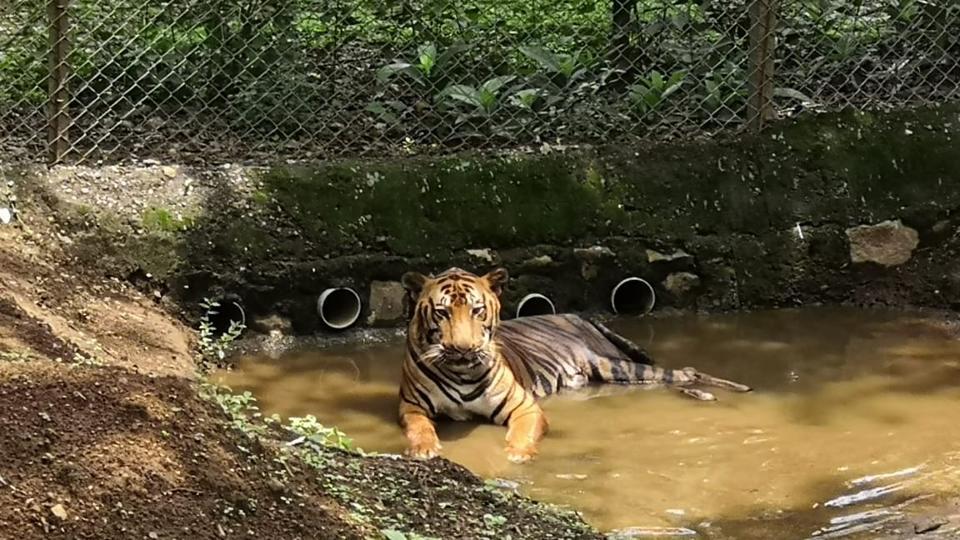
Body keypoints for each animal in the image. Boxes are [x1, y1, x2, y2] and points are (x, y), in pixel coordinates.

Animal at [396, 268, 752, 462]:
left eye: (477, 310)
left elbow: (523, 433)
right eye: (442, 312)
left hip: (613, 366)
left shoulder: (524, 406)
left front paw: (517, 454)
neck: (460, 369)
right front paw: (425, 449)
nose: (463, 349)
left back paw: (737, 389)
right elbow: (419, 428)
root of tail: (580, 316)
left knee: (687, 372)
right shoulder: (412, 406)